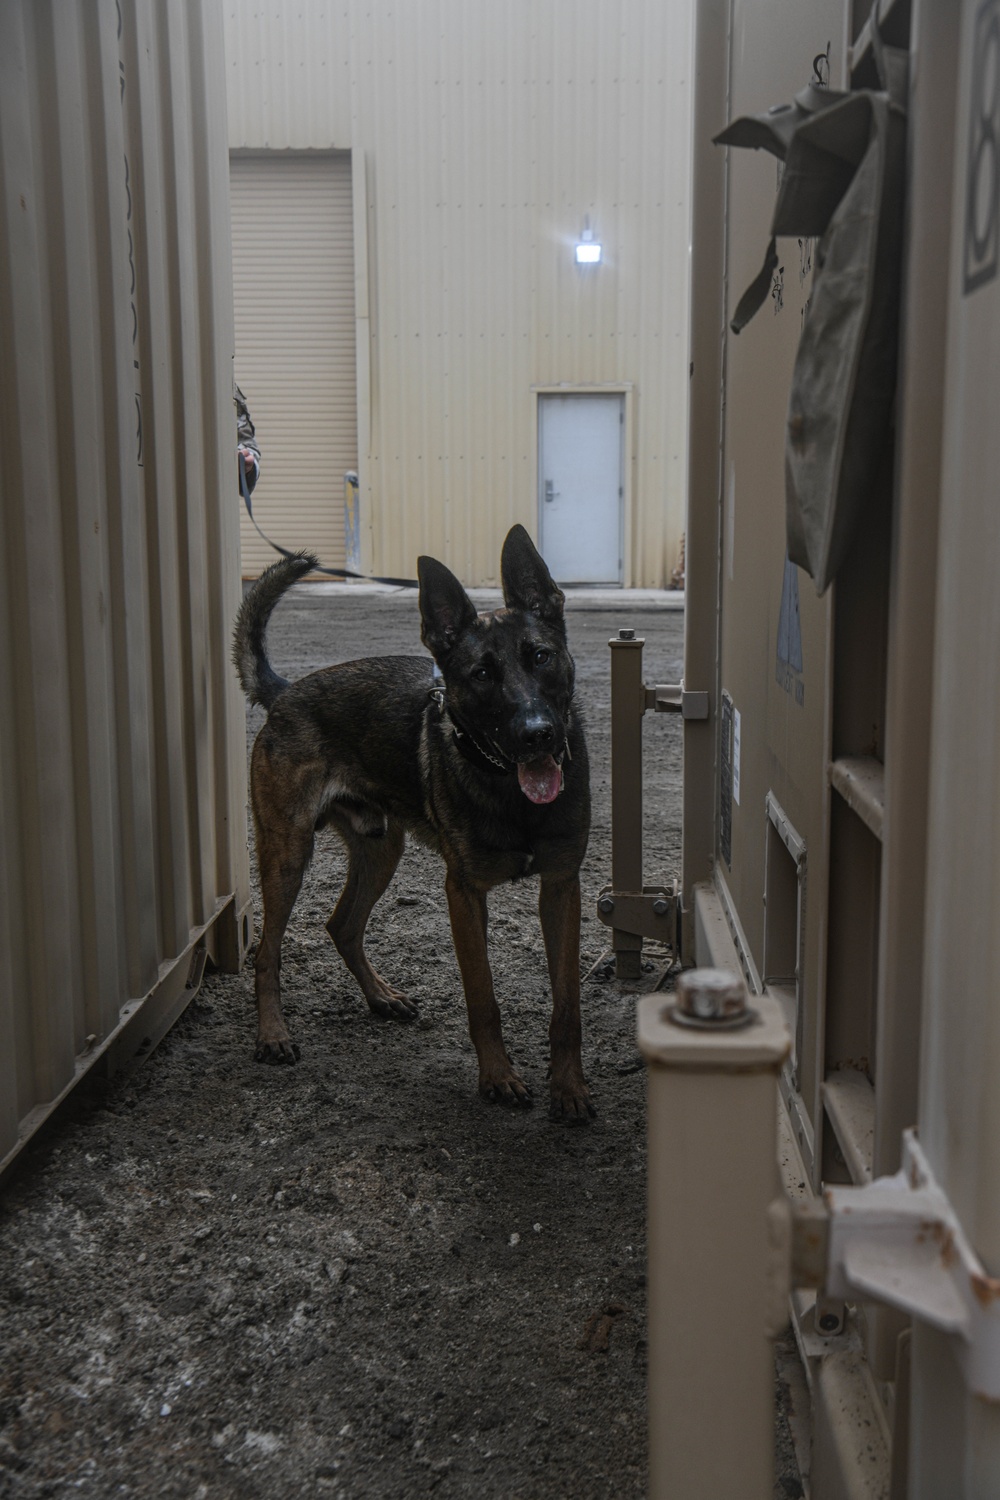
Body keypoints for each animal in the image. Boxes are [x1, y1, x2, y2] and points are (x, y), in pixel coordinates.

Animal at [232, 522, 593, 1122]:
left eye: (540, 657)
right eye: (481, 675)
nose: (537, 734)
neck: (506, 787)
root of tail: (286, 691)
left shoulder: (562, 887)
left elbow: (567, 1002)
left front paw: (568, 1086)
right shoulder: (464, 895)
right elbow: (483, 997)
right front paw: (497, 1078)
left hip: (381, 851)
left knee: (342, 925)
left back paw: (381, 996)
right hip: (287, 854)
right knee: (267, 952)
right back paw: (272, 1034)